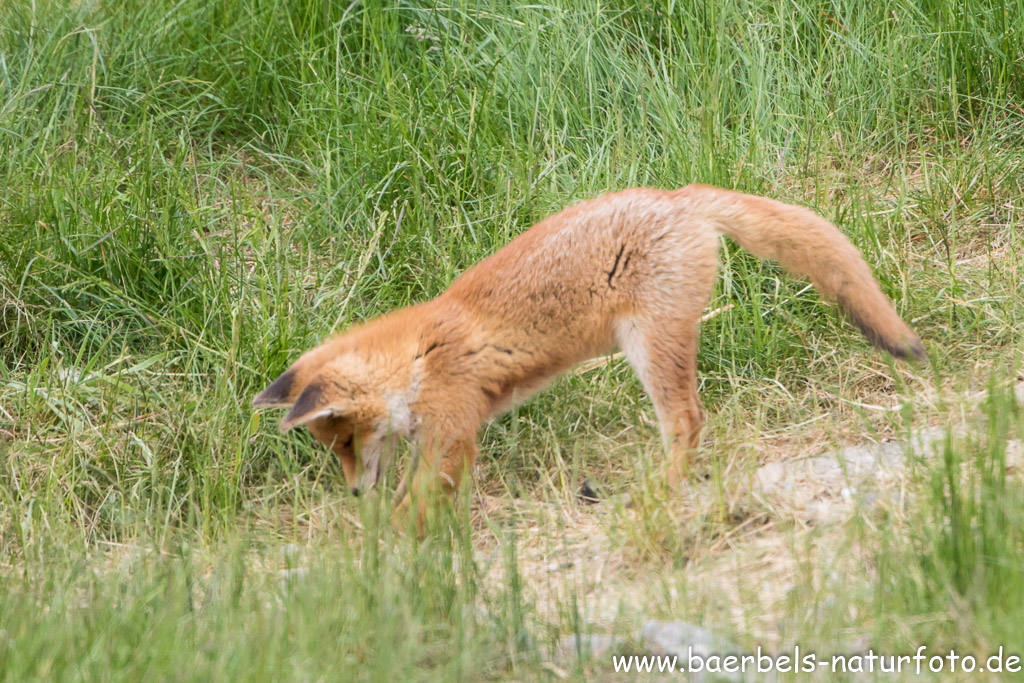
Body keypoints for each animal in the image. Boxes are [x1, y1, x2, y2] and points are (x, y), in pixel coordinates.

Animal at [251, 187, 925, 518]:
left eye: (345, 440)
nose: (352, 494)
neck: (416, 361)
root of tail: (679, 194)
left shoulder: (454, 432)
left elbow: (416, 507)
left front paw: (387, 557)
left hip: (650, 348)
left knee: (688, 422)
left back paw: (653, 493)